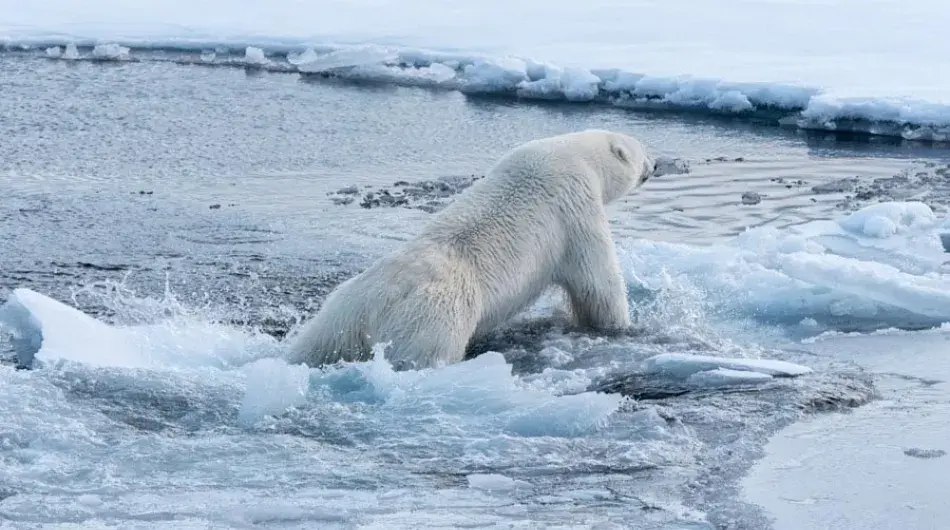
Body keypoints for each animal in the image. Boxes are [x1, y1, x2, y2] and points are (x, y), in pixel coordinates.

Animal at [285, 129, 656, 370]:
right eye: (641, 151)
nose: (655, 165)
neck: (575, 154)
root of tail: (376, 305)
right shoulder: (575, 205)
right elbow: (596, 281)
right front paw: (621, 327)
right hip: (434, 318)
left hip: (338, 316)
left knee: (317, 346)